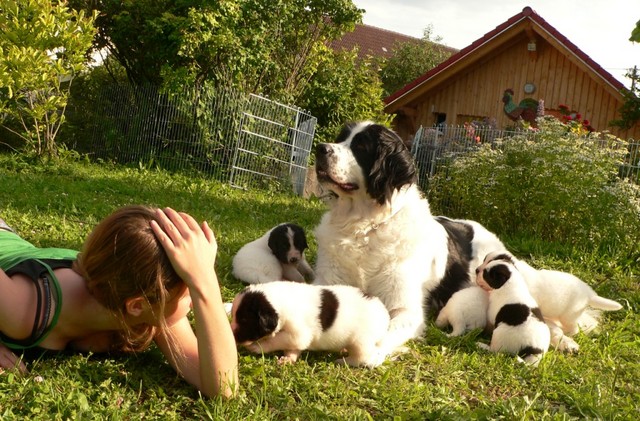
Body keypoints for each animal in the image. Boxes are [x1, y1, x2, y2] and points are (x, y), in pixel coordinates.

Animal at [229, 281, 390, 367]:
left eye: (244, 320)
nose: (232, 335)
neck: (281, 302)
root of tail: (384, 314)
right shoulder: (294, 336)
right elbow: (292, 347)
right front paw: (288, 358)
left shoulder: (298, 333)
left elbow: (278, 340)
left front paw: (258, 347)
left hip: (361, 340)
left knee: (361, 356)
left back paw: (344, 361)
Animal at [312, 121, 507, 356]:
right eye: (340, 138)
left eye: (361, 146)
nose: (321, 148)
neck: (364, 228)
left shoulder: (405, 309)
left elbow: (381, 338)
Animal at [477, 250, 623, 351]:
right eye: (484, 260)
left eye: (487, 272)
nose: (477, 270)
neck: (516, 272)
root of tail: (589, 294)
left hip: (568, 315)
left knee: (574, 328)